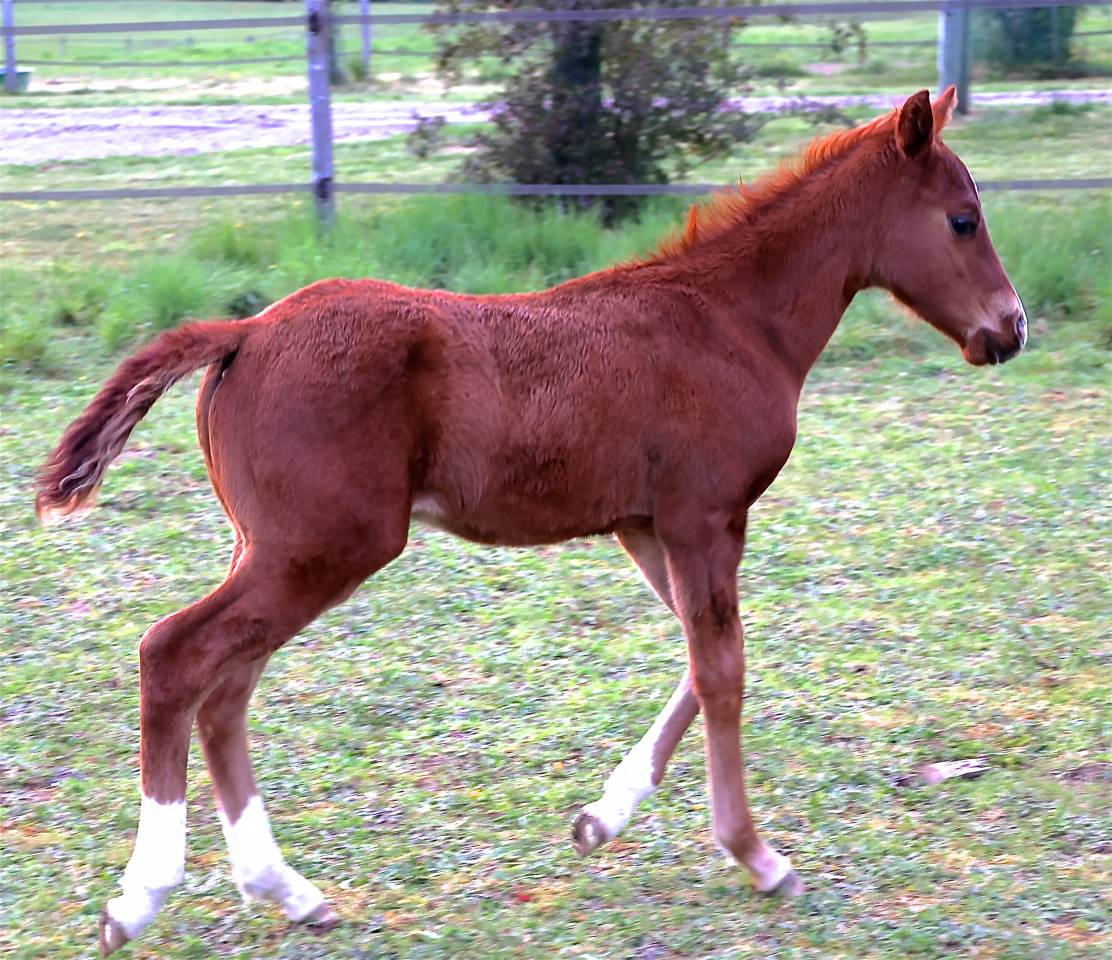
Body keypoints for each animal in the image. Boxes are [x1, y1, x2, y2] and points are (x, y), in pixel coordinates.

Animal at [35, 87, 1027, 955]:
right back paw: (141, 898)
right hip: (323, 548)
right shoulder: (703, 514)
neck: (731, 320)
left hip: (278, 549)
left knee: (226, 690)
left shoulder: (647, 523)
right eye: (962, 220)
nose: (1011, 329)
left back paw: (286, 891)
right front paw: (757, 857)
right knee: (175, 657)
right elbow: (723, 673)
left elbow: (705, 658)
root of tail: (243, 331)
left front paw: (601, 817)